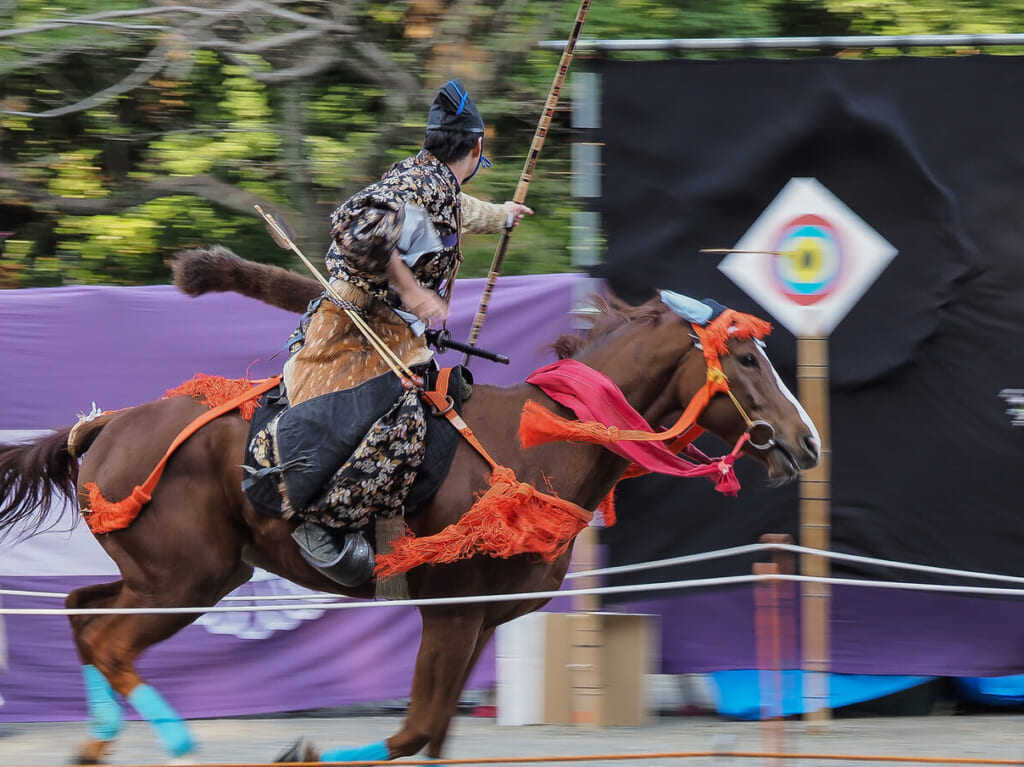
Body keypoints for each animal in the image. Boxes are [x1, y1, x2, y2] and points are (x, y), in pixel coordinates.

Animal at [0, 274, 815, 761]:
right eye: (746, 360)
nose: (806, 440)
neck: (536, 442)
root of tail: (107, 426)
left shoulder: (482, 617)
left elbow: (436, 733)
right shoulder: (450, 608)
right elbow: (416, 728)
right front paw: (299, 750)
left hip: (167, 574)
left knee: (83, 613)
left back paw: (99, 739)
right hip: (184, 578)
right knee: (108, 639)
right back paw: (176, 744)